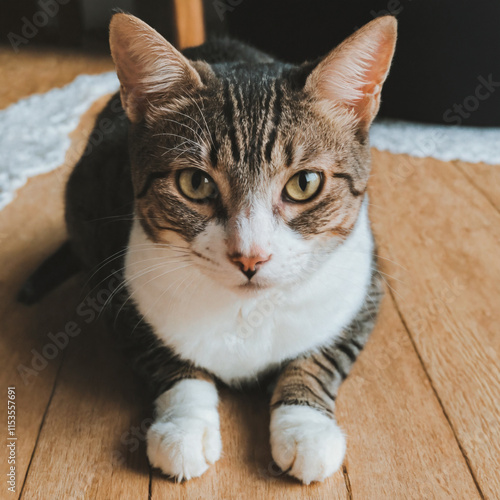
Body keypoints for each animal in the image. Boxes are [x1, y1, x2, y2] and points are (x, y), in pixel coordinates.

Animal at [63, 12, 398, 484]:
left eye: (305, 183)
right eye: (194, 182)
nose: (250, 256)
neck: (245, 311)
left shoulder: (364, 288)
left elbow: (320, 357)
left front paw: (306, 428)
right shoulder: (117, 294)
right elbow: (169, 363)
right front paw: (183, 427)